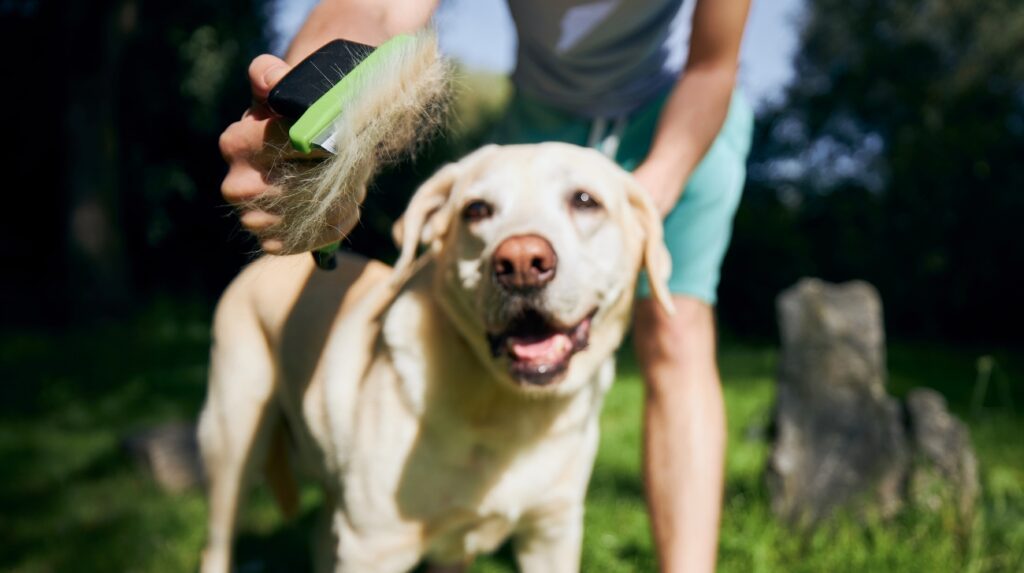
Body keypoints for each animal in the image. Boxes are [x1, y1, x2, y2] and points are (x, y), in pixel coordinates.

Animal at [197, 143, 671, 573]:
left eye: (585, 201)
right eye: (476, 210)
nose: (521, 262)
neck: (506, 408)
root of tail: (268, 261)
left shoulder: (551, 533)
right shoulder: (373, 547)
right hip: (234, 442)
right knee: (217, 541)